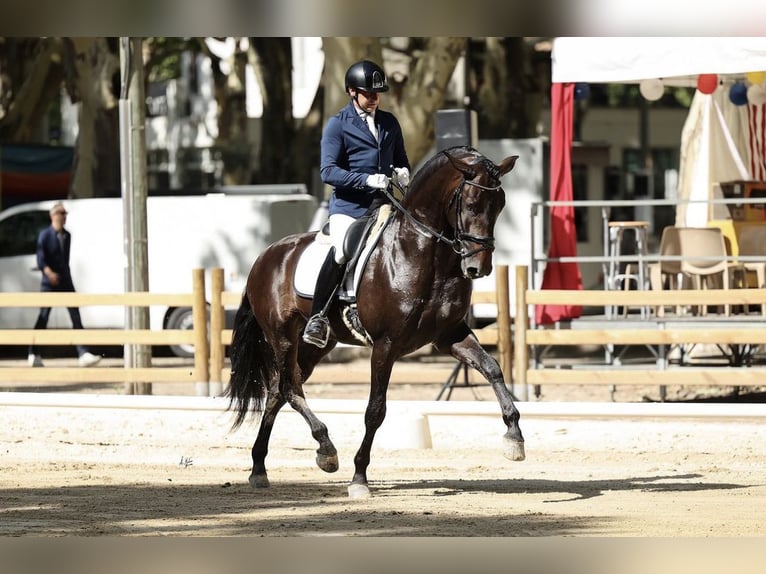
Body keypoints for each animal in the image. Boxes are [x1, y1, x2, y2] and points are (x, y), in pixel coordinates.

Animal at [228, 145, 524, 500]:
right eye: (470, 204)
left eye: (500, 205)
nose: (478, 267)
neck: (427, 255)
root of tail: (266, 255)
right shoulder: (386, 345)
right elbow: (375, 410)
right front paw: (359, 478)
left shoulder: (449, 335)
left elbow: (492, 368)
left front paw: (514, 437)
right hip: (282, 335)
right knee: (288, 387)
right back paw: (326, 449)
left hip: (315, 345)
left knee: (278, 389)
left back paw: (260, 467)